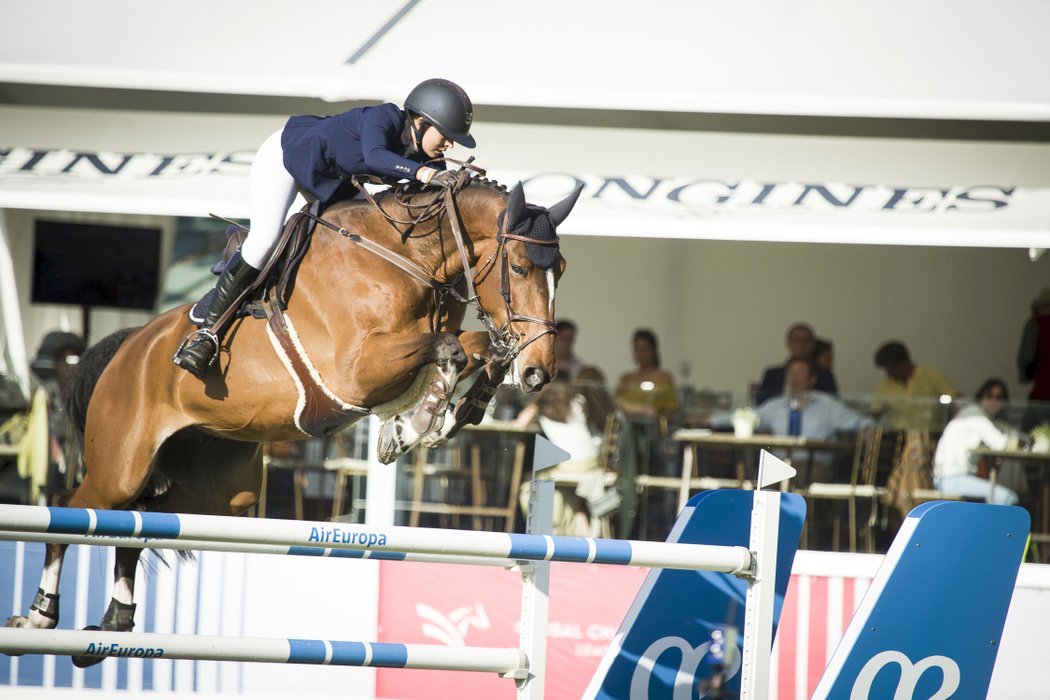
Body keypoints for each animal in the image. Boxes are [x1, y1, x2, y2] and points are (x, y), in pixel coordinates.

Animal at [4, 171, 583, 667]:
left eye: (562, 272)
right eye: (520, 268)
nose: (542, 372)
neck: (407, 257)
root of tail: (127, 344)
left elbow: (479, 348)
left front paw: (462, 408)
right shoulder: (354, 373)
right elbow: (451, 349)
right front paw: (411, 429)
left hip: (222, 490)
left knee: (139, 518)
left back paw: (114, 625)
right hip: (120, 463)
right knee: (72, 509)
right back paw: (39, 618)